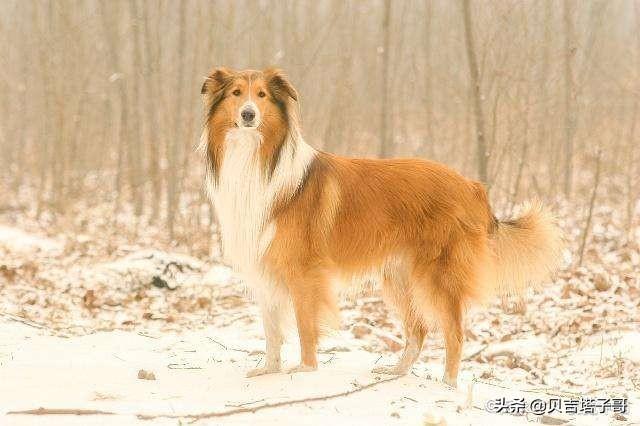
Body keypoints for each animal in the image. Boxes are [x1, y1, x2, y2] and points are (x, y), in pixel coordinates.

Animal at [199, 67, 562, 387]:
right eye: (236, 93)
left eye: (261, 95)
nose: (248, 115)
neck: (259, 159)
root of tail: (472, 185)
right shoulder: (264, 268)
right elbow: (272, 330)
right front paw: (269, 371)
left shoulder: (304, 272)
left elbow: (305, 325)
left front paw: (305, 371)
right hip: (398, 276)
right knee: (418, 330)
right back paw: (396, 373)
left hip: (435, 275)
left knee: (454, 331)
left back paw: (448, 384)